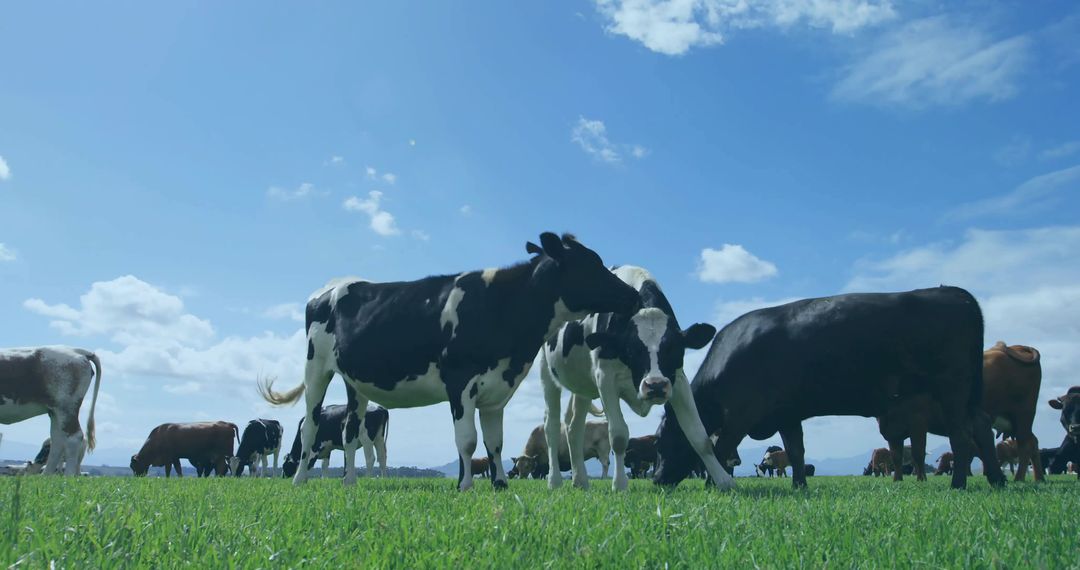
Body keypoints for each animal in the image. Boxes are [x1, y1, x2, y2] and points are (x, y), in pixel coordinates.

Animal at [0, 346, 103, 476]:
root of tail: (76, 351)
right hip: (55, 411)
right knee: (57, 440)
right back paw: (46, 476)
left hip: (67, 407)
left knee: (73, 438)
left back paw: (68, 476)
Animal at [258, 232, 640, 491]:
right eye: (590, 265)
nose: (633, 295)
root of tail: (334, 284)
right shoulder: (460, 381)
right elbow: (468, 441)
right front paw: (466, 486)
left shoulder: (497, 389)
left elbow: (495, 442)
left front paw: (500, 485)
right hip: (316, 368)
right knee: (310, 426)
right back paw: (299, 480)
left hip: (354, 383)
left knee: (351, 431)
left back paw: (350, 481)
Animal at [538, 265, 725, 491]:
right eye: (632, 348)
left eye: (673, 348)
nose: (655, 386)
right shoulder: (605, 378)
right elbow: (618, 435)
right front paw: (619, 485)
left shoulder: (678, 380)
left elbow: (699, 435)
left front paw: (724, 481)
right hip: (547, 373)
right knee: (551, 425)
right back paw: (554, 481)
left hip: (582, 386)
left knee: (574, 427)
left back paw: (580, 481)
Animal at [655, 287, 1006, 490]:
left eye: (660, 441)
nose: (657, 479)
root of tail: (958, 295)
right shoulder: (786, 413)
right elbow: (796, 451)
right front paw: (799, 486)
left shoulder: (742, 414)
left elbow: (721, 447)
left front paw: (716, 485)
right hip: (967, 394)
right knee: (981, 426)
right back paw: (997, 479)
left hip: (952, 387)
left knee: (962, 435)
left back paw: (959, 484)